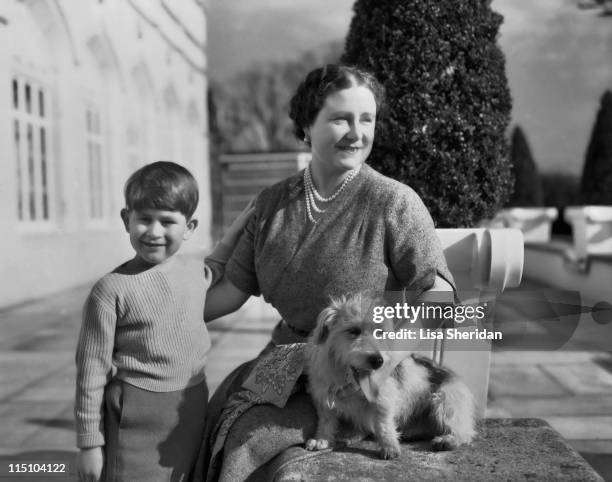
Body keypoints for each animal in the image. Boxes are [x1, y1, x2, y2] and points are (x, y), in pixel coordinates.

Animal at [304, 294, 476, 460]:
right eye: (353, 331)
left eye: (380, 332)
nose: (378, 361)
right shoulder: (324, 396)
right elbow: (326, 420)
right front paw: (321, 439)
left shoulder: (383, 398)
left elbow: (383, 424)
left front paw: (389, 447)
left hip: (445, 400)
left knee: (465, 432)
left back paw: (448, 440)